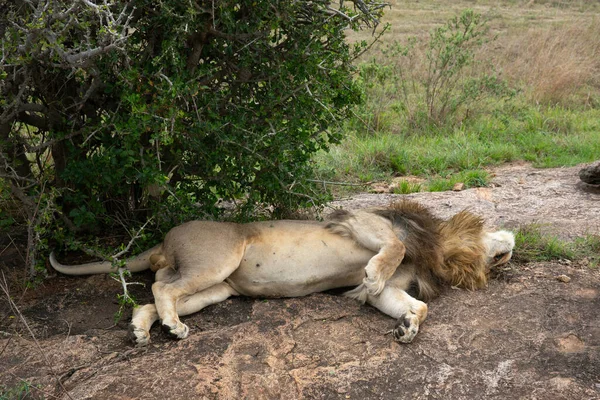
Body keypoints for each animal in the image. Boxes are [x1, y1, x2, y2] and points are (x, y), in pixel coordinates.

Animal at [49, 200, 512, 346]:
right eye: (491, 227)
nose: (514, 239)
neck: (436, 249)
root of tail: (164, 239)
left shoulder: (387, 290)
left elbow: (408, 303)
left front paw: (408, 326)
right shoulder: (363, 221)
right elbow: (392, 250)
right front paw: (377, 274)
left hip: (218, 289)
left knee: (155, 296)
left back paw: (145, 328)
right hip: (219, 259)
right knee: (164, 288)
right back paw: (173, 328)